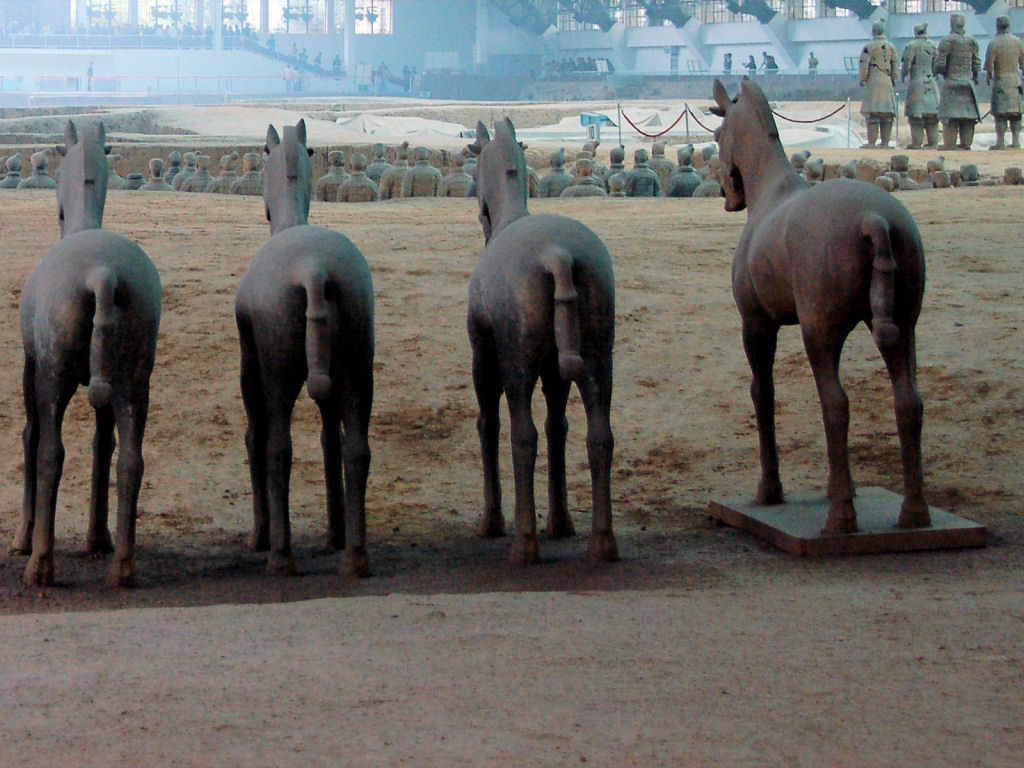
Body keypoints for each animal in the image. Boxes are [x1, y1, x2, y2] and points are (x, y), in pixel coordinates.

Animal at [12, 121, 160, 589]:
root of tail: (102, 274)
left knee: (50, 452)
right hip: (135, 381)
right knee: (130, 459)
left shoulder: (32, 368)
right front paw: (98, 538)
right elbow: (102, 444)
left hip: (53, 374)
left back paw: (39, 563)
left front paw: (24, 536)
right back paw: (124, 567)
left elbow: (30, 436)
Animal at [234, 120, 374, 577]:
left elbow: (254, 436)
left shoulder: (249, 362)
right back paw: (355, 555)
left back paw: (280, 554)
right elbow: (330, 439)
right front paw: (335, 532)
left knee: (277, 446)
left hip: (277, 369)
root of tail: (313, 269)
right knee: (356, 448)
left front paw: (260, 533)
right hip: (357, 365)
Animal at [466, 120, 614, 565]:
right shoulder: (555, 371)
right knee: (599, 435)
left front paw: (493, 519)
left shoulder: (484, 356)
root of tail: (557, 255)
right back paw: (602, 541)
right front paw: (561, 522)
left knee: (522, 435)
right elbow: (558, 427)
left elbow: (489, 424)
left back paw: (524, 542)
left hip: (517, 362)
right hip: (598, 356)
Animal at [712, 79, 929, 536]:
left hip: (818, 332)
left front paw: (770, 489)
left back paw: (841, 517)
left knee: (836, 404)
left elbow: (763, 393)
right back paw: (914, 512)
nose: (726, 192)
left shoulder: (757, 325)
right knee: (908, 402)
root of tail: (873, 217)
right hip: (903, 327)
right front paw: (835, 485)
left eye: (719, 135)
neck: (771, 192)